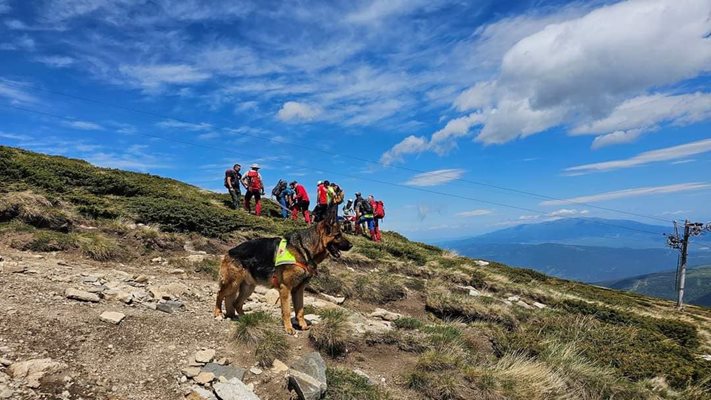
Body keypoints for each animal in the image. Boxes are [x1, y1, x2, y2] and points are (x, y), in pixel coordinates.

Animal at [214, 205, 354, 332]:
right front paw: (288, 328)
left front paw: (302, 325)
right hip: (232, 283)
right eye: (338, 235)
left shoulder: (299, 290)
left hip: (248, 288)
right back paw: (218, 313)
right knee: (220, 294)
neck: (304, 249)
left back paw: (242, 317)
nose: (351, 245)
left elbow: (300, 310)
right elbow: (286, 310)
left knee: (235, 302)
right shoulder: (285, 288)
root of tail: (230, 251)